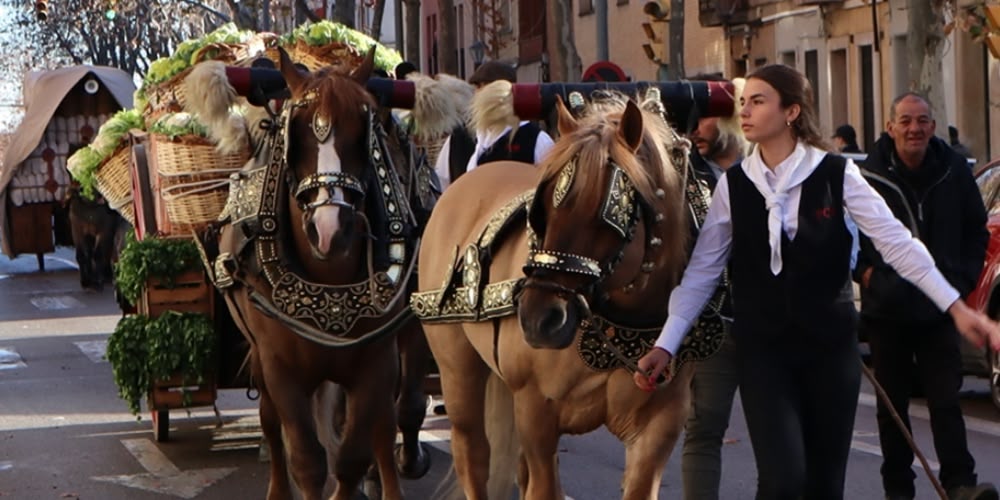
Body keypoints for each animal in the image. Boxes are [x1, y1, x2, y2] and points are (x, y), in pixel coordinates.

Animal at [202, 47, 434, 500]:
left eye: (365, 131)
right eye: (297, 133)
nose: (329, 229)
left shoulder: (376, 361)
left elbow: (353, 456)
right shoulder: (281, 368)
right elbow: (307, 461)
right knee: (270, 424)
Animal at [414, 91, 696, 500]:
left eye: (605, 212)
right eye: (543, 207)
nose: (538, 320)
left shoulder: (661, 425)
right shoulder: (535, 410)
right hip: (457, 370)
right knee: (474, 456)